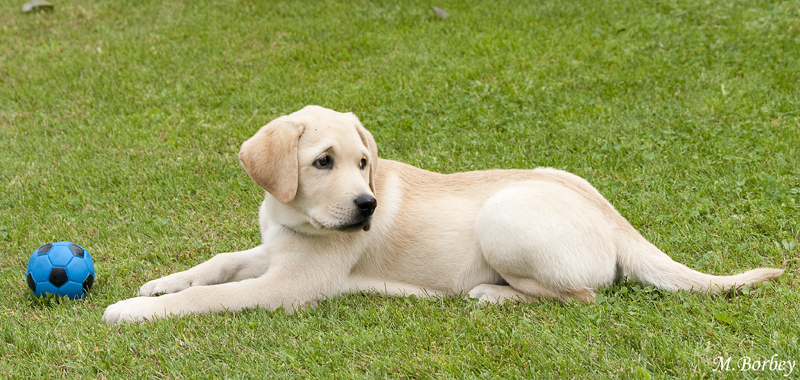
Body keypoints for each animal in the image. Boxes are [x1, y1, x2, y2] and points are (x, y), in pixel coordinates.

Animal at [101, 104, 780, 324]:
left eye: (364, 162)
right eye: (323, 162)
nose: (368, 204)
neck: (296, 223)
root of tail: (616, 219)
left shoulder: (288, 286)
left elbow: (208, 298)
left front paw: (133, 311)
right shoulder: (273, 252)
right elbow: (215, 265)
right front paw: (159, 282)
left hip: (506, 215)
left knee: (580, 295)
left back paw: (492, 293)